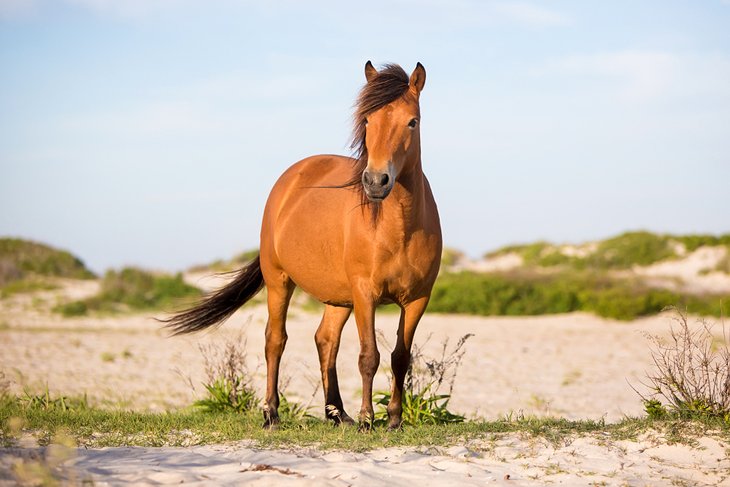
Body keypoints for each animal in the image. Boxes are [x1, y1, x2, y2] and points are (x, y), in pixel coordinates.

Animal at [165, 61, 438, 430]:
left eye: (413, 121)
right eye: (368, 120)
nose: (376, 181)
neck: (399, 228)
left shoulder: (417, 300)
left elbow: (400, 357)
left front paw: (393, 419)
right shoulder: (365, 293)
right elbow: (369, 356)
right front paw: (368, 419)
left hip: (339, 297)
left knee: (326, 340)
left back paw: (336, 413)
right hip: (279, 280)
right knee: (275, 340)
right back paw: (272, 413)